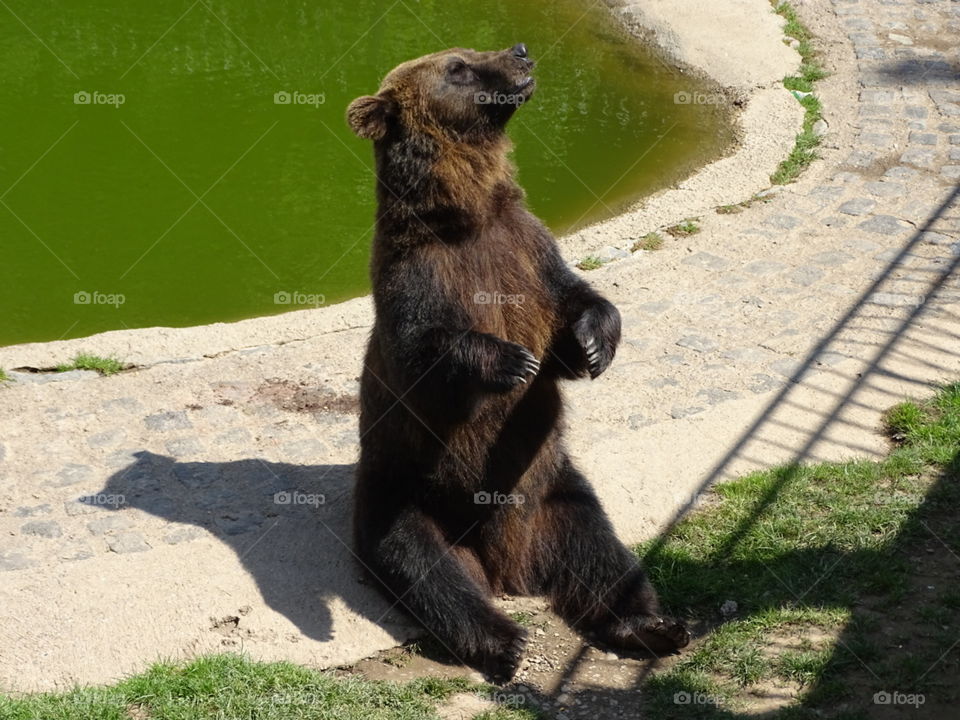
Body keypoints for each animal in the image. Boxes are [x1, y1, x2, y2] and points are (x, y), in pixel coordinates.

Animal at [347, 43, 689, 682]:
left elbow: (576, 297)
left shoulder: (528, 249)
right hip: (408, 493)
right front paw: (512, 362)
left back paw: (654, 625)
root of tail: (511, 569)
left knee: (603, 553)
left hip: (555, 488)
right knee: (425, 569)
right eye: (456, 66)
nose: (520, 51)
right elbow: (424, 351)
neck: (469, 215)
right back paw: (505, 642)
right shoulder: (417, 276)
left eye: (468, 52)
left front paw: (592, 346)